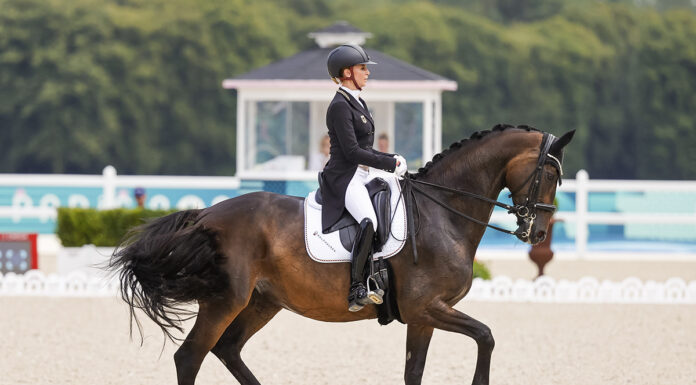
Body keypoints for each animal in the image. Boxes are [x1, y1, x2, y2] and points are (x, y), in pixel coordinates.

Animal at [110, 124, 576, 382]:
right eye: (550, 174)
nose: (537, 233)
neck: (441, 213)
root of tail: (208, 213)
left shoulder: (422, 316)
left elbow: (415, 371)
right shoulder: (428, 307)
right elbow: (486, 336)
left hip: (261, 302)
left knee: (227, 350)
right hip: (225, 300)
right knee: (191, 357)